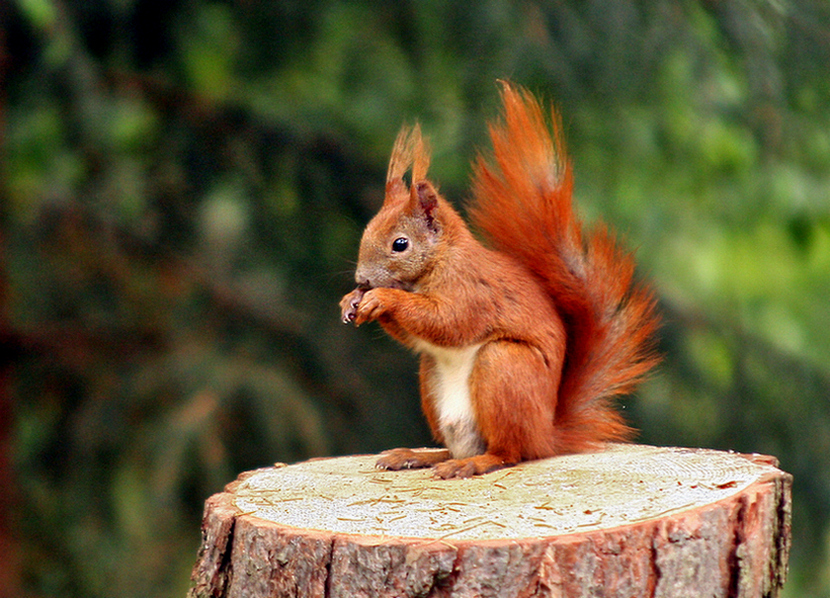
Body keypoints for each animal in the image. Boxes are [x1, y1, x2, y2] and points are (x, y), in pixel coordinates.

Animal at [342, 82, 660, 480]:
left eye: (400, 244)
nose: (363, 279)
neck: (438, 262)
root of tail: (546, 435)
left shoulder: (471, 291)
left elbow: (447, 323)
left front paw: (382, 298)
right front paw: (351, 301)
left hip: (504, 367)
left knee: (509, 451)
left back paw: (473, 463)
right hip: (431, 376)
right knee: (454, 446)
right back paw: (417, 456)